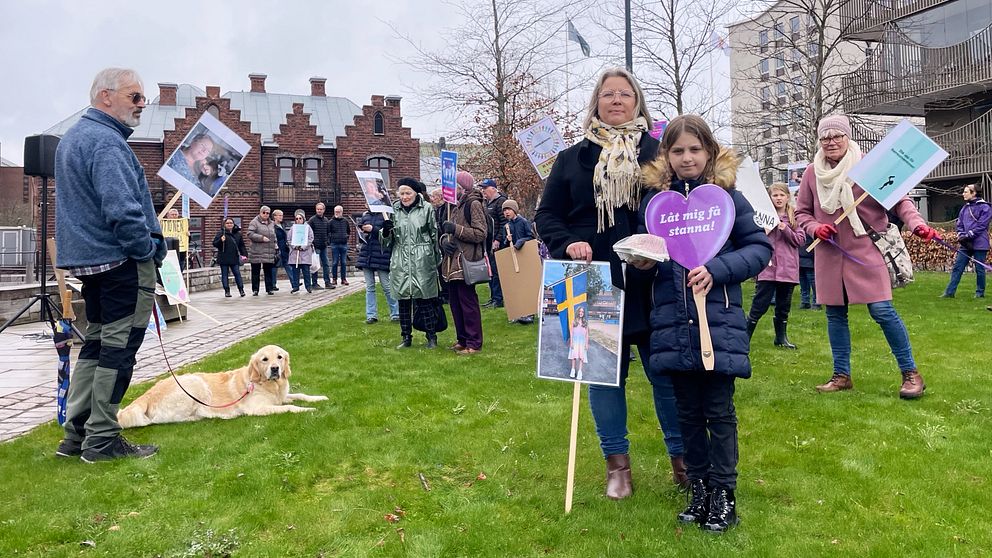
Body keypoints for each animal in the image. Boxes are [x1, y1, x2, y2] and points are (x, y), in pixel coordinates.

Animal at [117, 346, 326, 428]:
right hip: (195, 384)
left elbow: (301, 395)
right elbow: (290, 406)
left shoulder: (281, 397)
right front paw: (306, 409)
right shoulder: (258, 408)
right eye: (264, 359)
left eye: (280, 357)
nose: (275, 369)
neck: (269, 385)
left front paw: (319, 398)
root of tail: (146, 395)